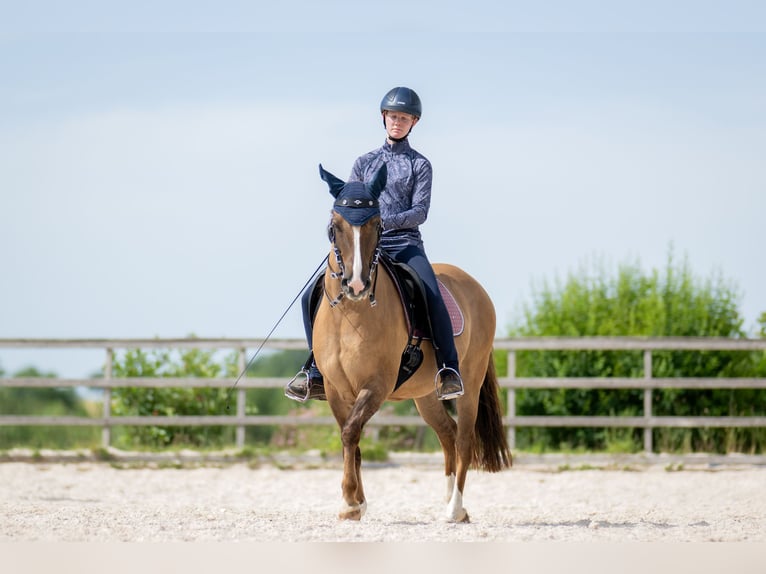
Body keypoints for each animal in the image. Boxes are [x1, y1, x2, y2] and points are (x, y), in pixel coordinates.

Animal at [308, 164, 512, 524]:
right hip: (426, 394)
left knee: (464, 438)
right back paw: (452, 503)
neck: (351, 315)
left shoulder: (376, 385)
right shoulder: (334, 388)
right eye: (335, 226)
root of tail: (475, 287)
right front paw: (356, 503)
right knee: (447, 433)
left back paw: (455, 509)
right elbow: (350, 436)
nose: (356, 285)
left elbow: (351, 432)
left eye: (378, 224)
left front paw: (350, 503)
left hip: (470, 384)